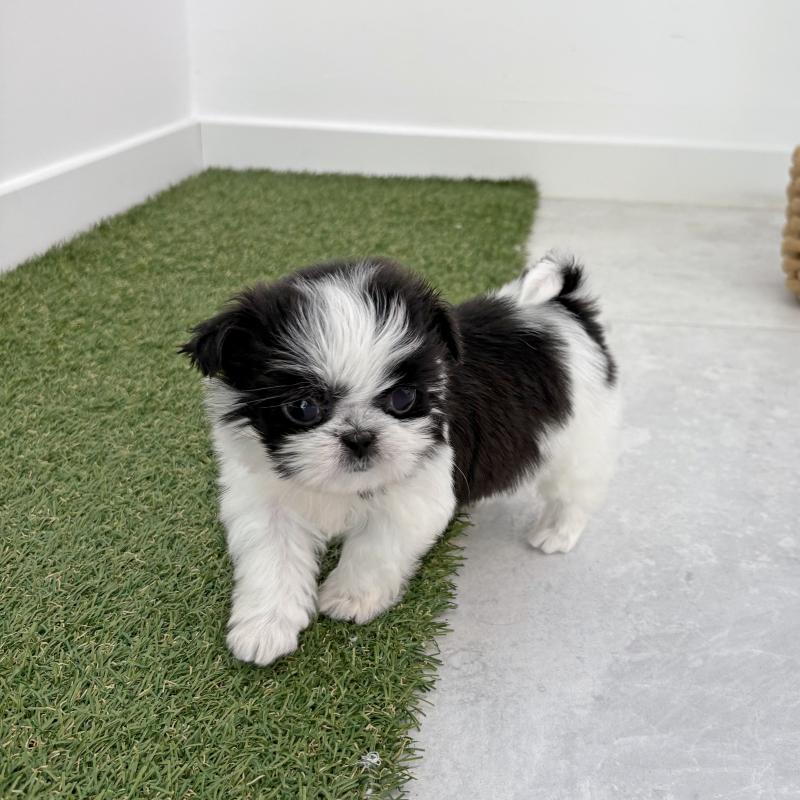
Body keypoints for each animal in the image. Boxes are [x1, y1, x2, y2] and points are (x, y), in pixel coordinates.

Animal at [180, 254, 619, 666]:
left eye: (403, 398)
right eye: (303, 407)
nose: (360, 437)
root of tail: (564, 309)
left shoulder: (415, 498)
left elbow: (374, 550)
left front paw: (349, 598)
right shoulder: (266, 501)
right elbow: (273, 560)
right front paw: (264, 628)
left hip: (577, 439)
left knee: (574, 490)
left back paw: (557, 532)